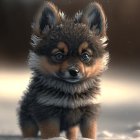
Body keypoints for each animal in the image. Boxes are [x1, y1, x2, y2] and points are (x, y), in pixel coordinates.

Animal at [18, 1, 109, 140]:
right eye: (59, 55)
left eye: (85, 56)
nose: (74, 71)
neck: (70, 92)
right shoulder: (48, 113)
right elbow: (51, 134)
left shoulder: (89, 114)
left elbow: (89, 134)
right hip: (28, 120)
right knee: (28, 131)